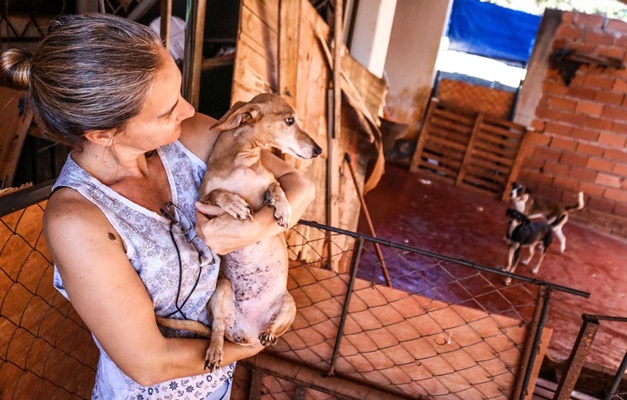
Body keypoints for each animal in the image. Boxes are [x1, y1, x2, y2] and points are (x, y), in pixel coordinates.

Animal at [159, 92, 322, 370]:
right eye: (290, 120)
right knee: (217, 328)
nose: (318, 150)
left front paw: (283, 208)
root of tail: (247, 333)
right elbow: (218, 192)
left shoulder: (267, 183)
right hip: (222, 290)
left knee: (274, 328)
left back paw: (269, 333)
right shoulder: (203, 201)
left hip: (288, 304)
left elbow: (275, 186)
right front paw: (235, 204)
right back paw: (216, 350)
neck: (242, 162)